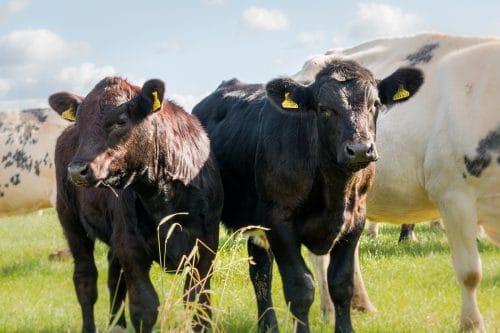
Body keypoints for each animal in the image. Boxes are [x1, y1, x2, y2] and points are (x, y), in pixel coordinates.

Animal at [191, 58, 422, 330]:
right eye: (323, 108)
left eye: (374, 104)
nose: (360, 149)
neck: (334, 192)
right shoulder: (279, 222)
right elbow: (300, 287)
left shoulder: (356, 221)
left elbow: (342, 284)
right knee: (202, 270)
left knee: (260, 271)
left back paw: (268, 326)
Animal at [296, 32, 500, 330]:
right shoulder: (453, 195)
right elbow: (470, 272)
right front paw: (473, 325)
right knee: (321, 256)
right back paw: (329, 311)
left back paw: (362, 304)